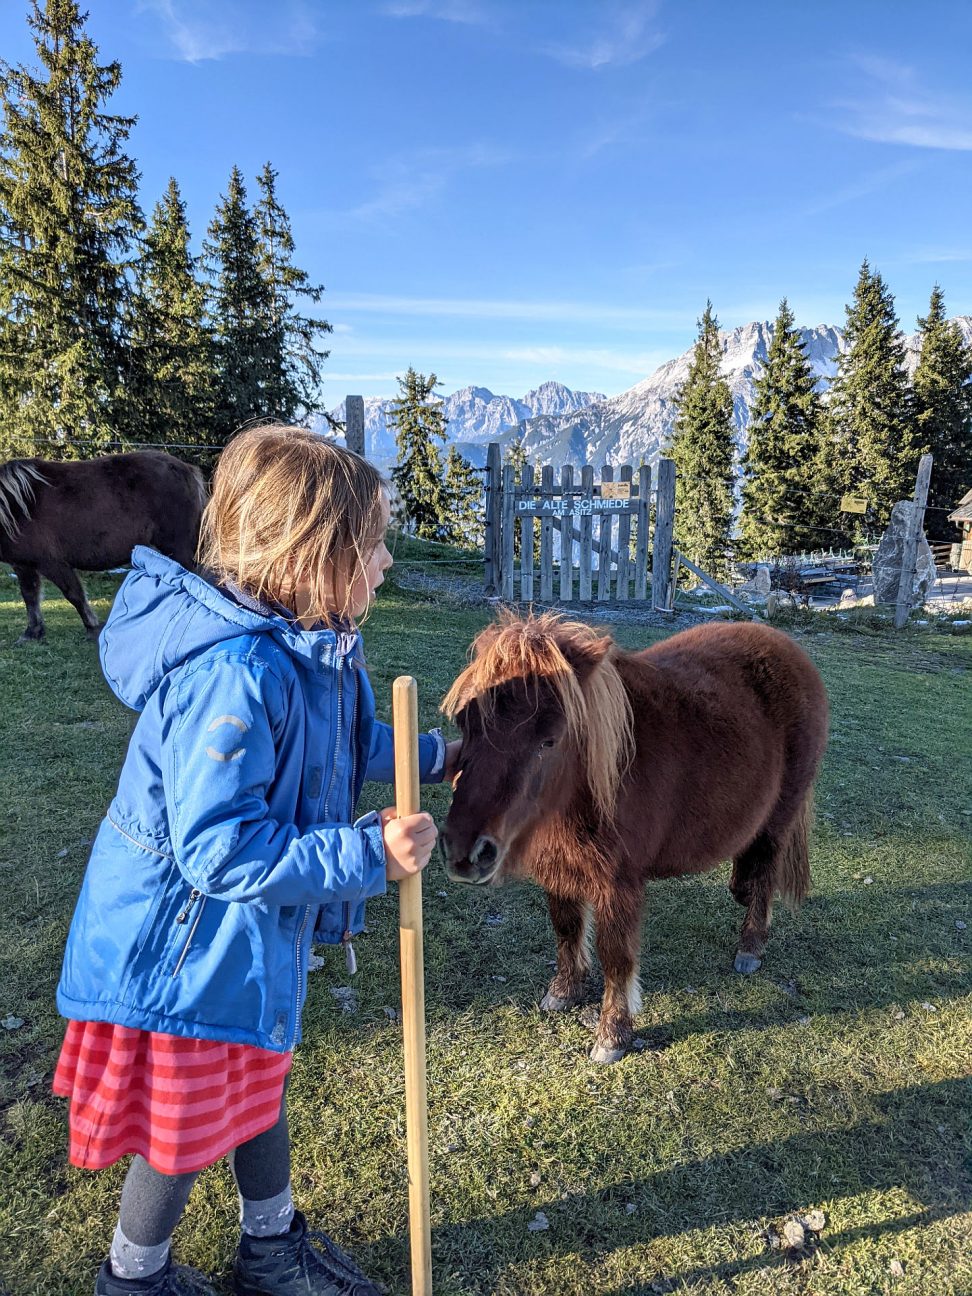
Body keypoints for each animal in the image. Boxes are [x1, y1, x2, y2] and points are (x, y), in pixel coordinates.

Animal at [0, 451, 206, 642]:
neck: (17, 509)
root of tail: (186, 469)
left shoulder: (53, 563)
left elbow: (74, 594)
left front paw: (93, 628)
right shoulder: (23, 565)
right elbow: (30, 596)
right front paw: (32, 632)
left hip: (178, 548)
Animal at [440, 614, 829, 1062]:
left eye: (549, 740)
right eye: (465, 723)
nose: (464, 852)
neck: (592, 785)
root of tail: (788, 646)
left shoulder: (619, 884)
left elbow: (616, 956)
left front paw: (612, 1035)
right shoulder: (559, 870)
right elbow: (566, 928)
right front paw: (564, 991)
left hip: (779, 818)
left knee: (765, 872)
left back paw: (750, 946)